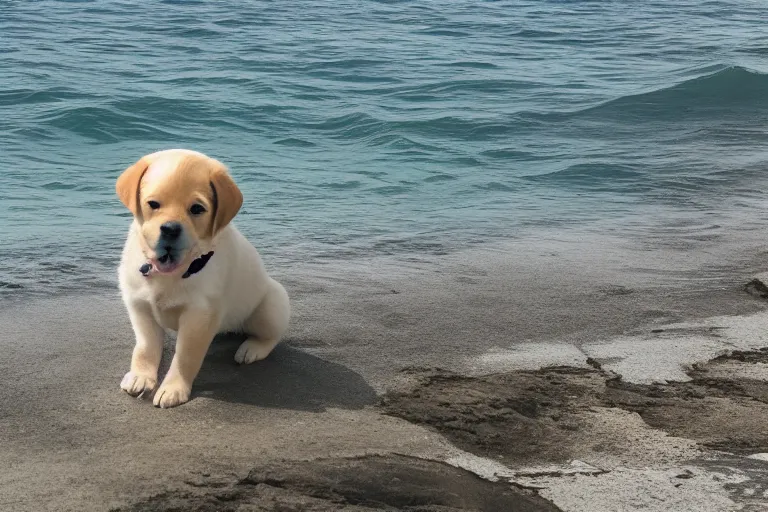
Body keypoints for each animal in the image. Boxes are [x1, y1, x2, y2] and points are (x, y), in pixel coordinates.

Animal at [115, 148, 290, 408]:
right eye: (153, 204)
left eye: (197, 209)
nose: (170, 228)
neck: (173, 271)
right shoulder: (139, 305)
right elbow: (145, 346)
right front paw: (141, 376)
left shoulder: (199, 315)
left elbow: (185, 357)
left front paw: (173, 388)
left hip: (271, 305)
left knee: (271, 335)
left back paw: (252, 349)